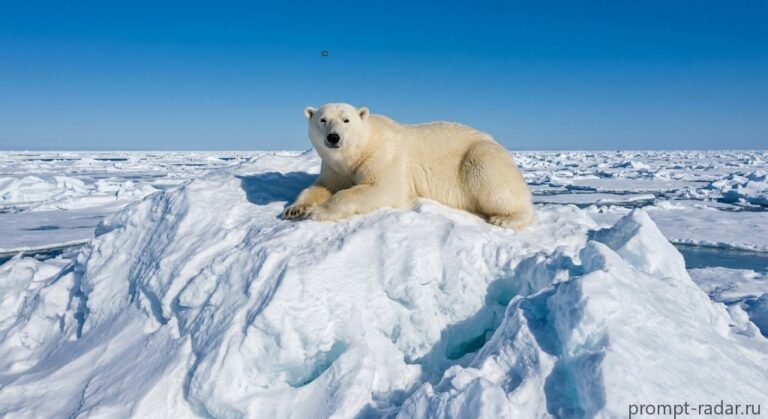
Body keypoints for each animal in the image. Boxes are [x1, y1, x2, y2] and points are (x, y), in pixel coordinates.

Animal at [283, 103, 533, 229]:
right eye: (322, 120)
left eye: (346, 120)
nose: (333, 137)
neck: (357, 152)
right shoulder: (334, 168)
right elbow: (322, 186)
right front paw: (295, 209)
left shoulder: (384, 156)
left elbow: (381, 189)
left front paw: (318, 212)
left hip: (481, 156)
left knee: (493, 183)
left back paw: (504, 218)